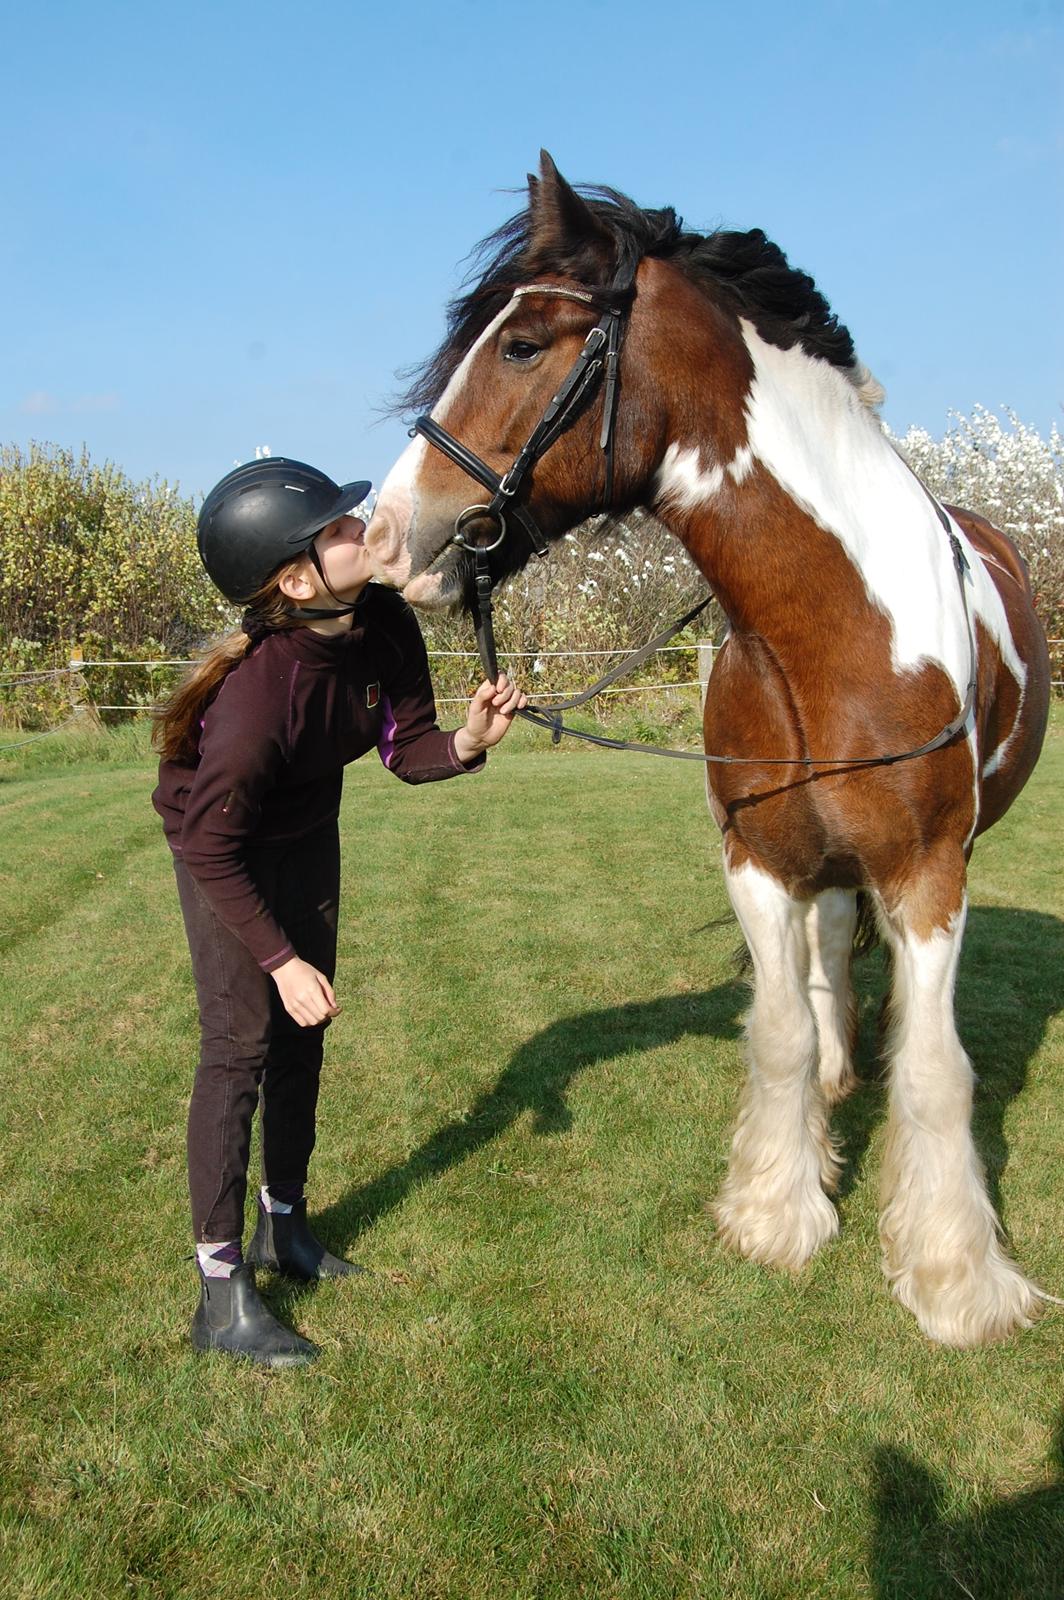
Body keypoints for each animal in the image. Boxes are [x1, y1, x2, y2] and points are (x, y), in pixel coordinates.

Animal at [369, 152, 1049, 1350]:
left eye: (522, 343)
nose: (378, 531)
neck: (828, 634)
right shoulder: (758, 862)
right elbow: (779, 1032)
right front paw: (778, 1211)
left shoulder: (928, 875)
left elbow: (935, 1073)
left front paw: (957, 1280)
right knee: (828, 961)